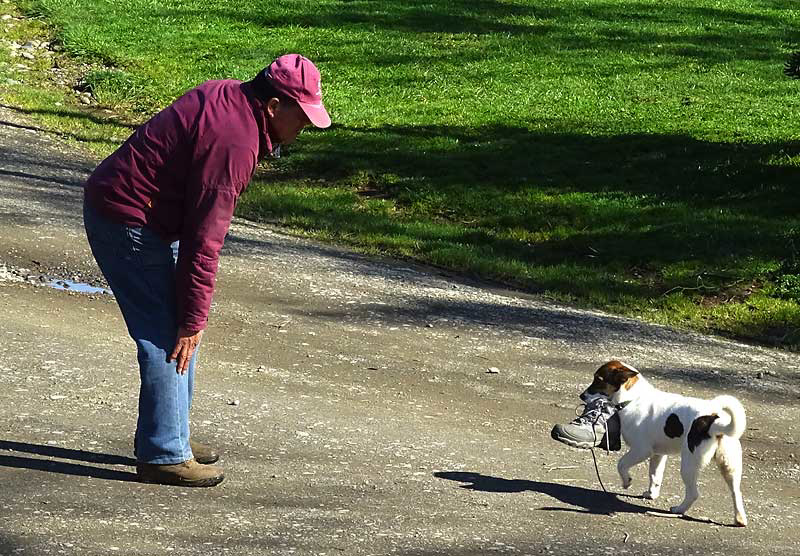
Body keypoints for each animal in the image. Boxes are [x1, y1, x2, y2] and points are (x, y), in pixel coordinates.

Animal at [580, 360, 752, 524]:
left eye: (598, 379)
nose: (582, 396)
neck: (634, 398)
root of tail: (714, 420)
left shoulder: (641, 451)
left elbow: (621, 464)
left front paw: (626, 482)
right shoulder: (658, 454)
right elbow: (654, 476)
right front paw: (651, 494)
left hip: (688, 465)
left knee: (693, 494)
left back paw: (678, 509)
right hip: (730, 467)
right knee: (736, 492)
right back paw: (739, 520)